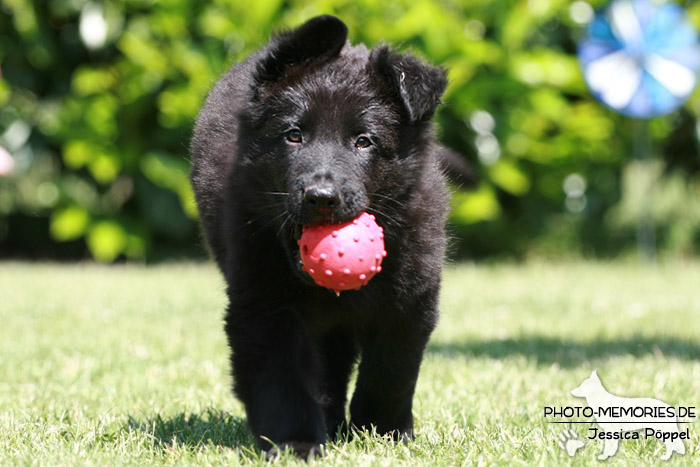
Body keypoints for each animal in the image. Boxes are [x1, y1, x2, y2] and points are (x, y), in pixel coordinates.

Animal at [191, 15, 452, 460]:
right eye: (294, 135)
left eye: (364, 141)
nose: (321, 197)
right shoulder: (264, 303)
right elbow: (282, 380)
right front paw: (296, 442)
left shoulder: (410, 299)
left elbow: (392, 372)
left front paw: (384, 432)